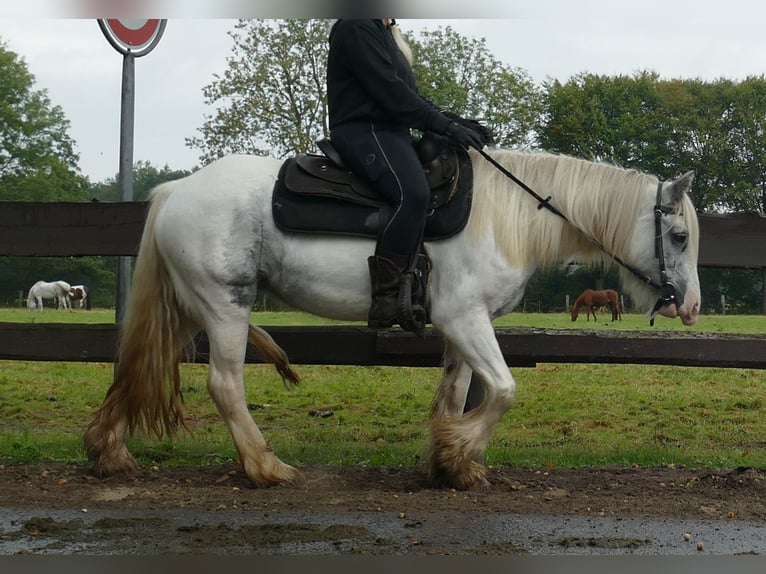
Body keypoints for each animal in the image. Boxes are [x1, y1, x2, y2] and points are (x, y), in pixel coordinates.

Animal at [84, 147, 704, 490]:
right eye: (678, 235)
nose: (690, 307)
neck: (505, 217)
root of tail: (175, 191)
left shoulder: (462, 326)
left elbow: (456, 393)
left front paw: (449, 464)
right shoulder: (465, 319)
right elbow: (503, 390)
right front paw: (459, 452)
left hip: (192, 308)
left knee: (140, 366)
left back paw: (108, 450)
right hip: (225, 306)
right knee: (224, 384)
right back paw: (265, 468)